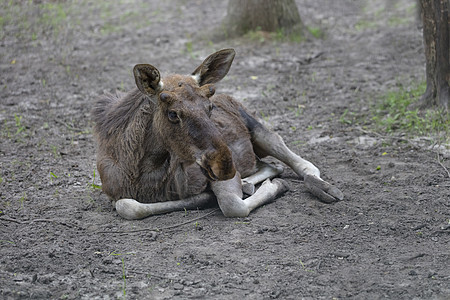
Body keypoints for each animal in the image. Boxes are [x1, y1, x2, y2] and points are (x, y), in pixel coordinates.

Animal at [93, 48, 342, 219]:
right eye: (173, 113)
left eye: (209, 106)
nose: (224, 163)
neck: (141, 171)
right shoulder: (113, 194)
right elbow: (129, 205)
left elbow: (233, 205)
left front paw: (274, 187)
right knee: (272, 166)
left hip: (260, 131)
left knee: (302, 163)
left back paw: (322, 187)